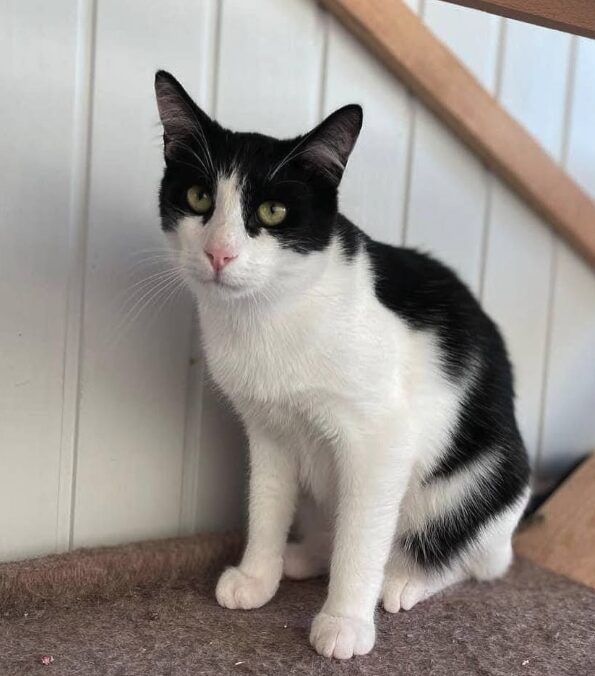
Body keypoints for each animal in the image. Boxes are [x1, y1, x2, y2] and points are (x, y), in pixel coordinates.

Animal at [154, 71, 532, 656]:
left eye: (272, 212)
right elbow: (266, 503)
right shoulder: (268, 430)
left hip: (483, 480)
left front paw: (346, 620)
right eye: (198, 198)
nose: (219, 253)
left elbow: (363, 534)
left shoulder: (381, 440)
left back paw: (403, 579)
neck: (272, 312)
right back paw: (306, 555)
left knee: (471, 558)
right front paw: (257, 575)